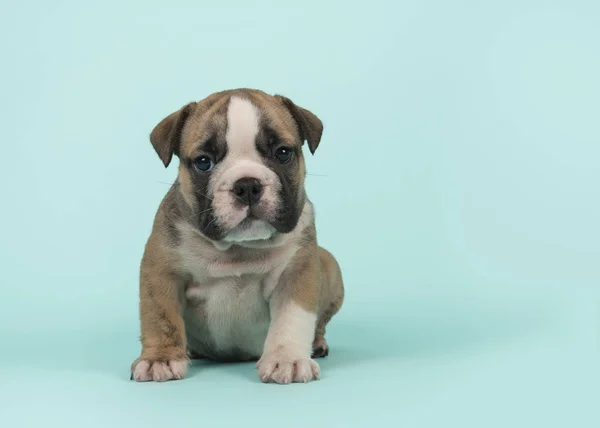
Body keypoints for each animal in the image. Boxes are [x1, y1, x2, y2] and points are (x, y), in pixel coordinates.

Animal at [131, 88, 346, 382]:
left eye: (282, 153)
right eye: (203, 162)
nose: (247, 185)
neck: (238, 248)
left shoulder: (297, 272)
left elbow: (292, 318)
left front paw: (287, 359)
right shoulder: (161, 273)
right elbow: (160, 317)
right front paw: (160, 359)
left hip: (330, 266)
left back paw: (317, 343)